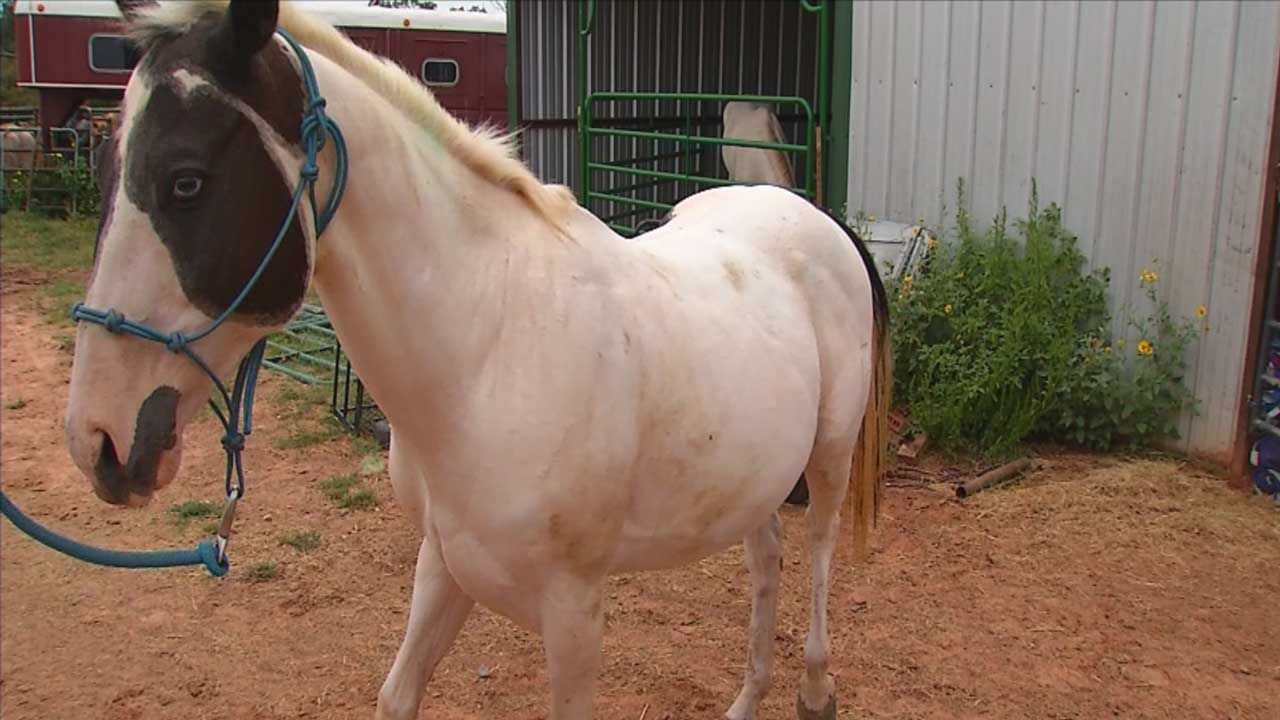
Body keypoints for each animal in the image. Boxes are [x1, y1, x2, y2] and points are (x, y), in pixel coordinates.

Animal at [63, 2, 892, 719]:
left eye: (186, 181)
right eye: (102, 167)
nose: (98, 442)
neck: (488, 352)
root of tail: (813, 217)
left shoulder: (575, 609)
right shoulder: (443, 561)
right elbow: (397, 694)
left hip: (827, 458)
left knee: (818, 552)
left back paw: (814, 691)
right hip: (752, 478)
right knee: (767, 561)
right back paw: (748, 698)